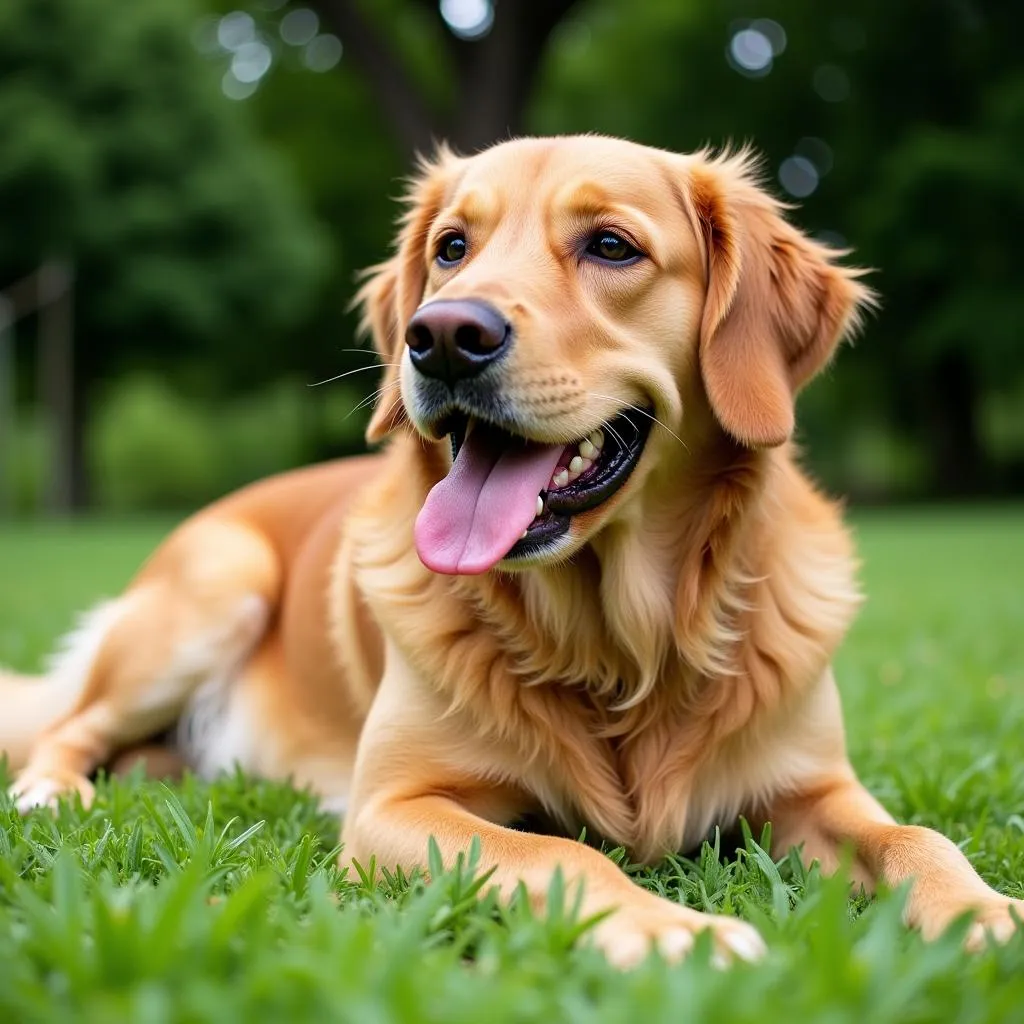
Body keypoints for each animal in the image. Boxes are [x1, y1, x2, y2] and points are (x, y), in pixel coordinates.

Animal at [4, 138, 1019, 966]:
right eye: (452, 248)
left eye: (611, 246)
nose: (443, 335)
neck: (622, 646)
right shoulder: (395, 809)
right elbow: (560, 852)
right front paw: (676, 933)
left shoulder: (814, 788)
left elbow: (916, 838)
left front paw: (986, 913)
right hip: (216, 587)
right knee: (64, 729)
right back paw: (53, 795)